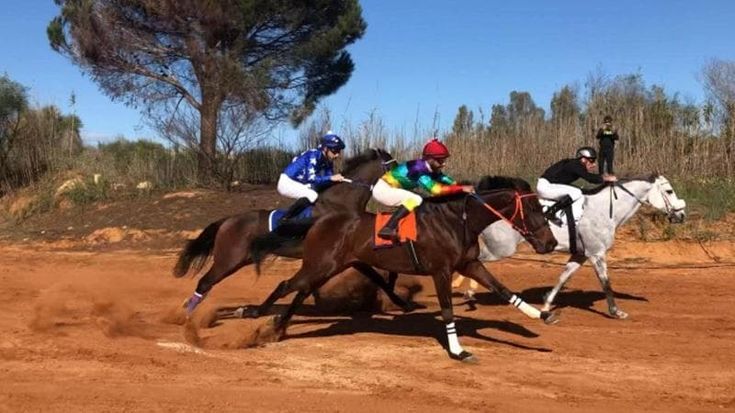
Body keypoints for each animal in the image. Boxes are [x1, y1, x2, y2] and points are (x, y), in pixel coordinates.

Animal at [172, 148, 416, 315]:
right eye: (394, 165)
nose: (412, 184)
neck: (342, 202)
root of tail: (227, 221)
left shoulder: (351, 254)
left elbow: (378, 276)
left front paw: (401, 301)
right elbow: (377, 276)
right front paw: (402, 303)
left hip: (241, 259)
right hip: (228, 260)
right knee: (205, 282)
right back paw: (187, 313)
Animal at [247, 176, 559, 363]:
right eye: (534, 208)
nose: (551, 243)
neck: (458, 220)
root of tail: (319, 221)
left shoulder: (469, 264)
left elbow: (503, 290)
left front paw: (543, 315)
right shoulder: (441, 271)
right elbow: (448, 311)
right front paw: (458, 350)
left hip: (329, 267)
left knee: (300, 291)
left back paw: (278, 326)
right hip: (321, 264)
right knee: (286, 286)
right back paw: (255, 317)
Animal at [476, 174, 687, 319]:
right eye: (669, 191)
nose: (681, 214)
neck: (605, 210)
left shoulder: (581, 254)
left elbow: (563, 277)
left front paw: (546, 304)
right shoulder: (597, 253)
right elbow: (605, 282)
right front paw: (615, 311)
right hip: (501, 248)